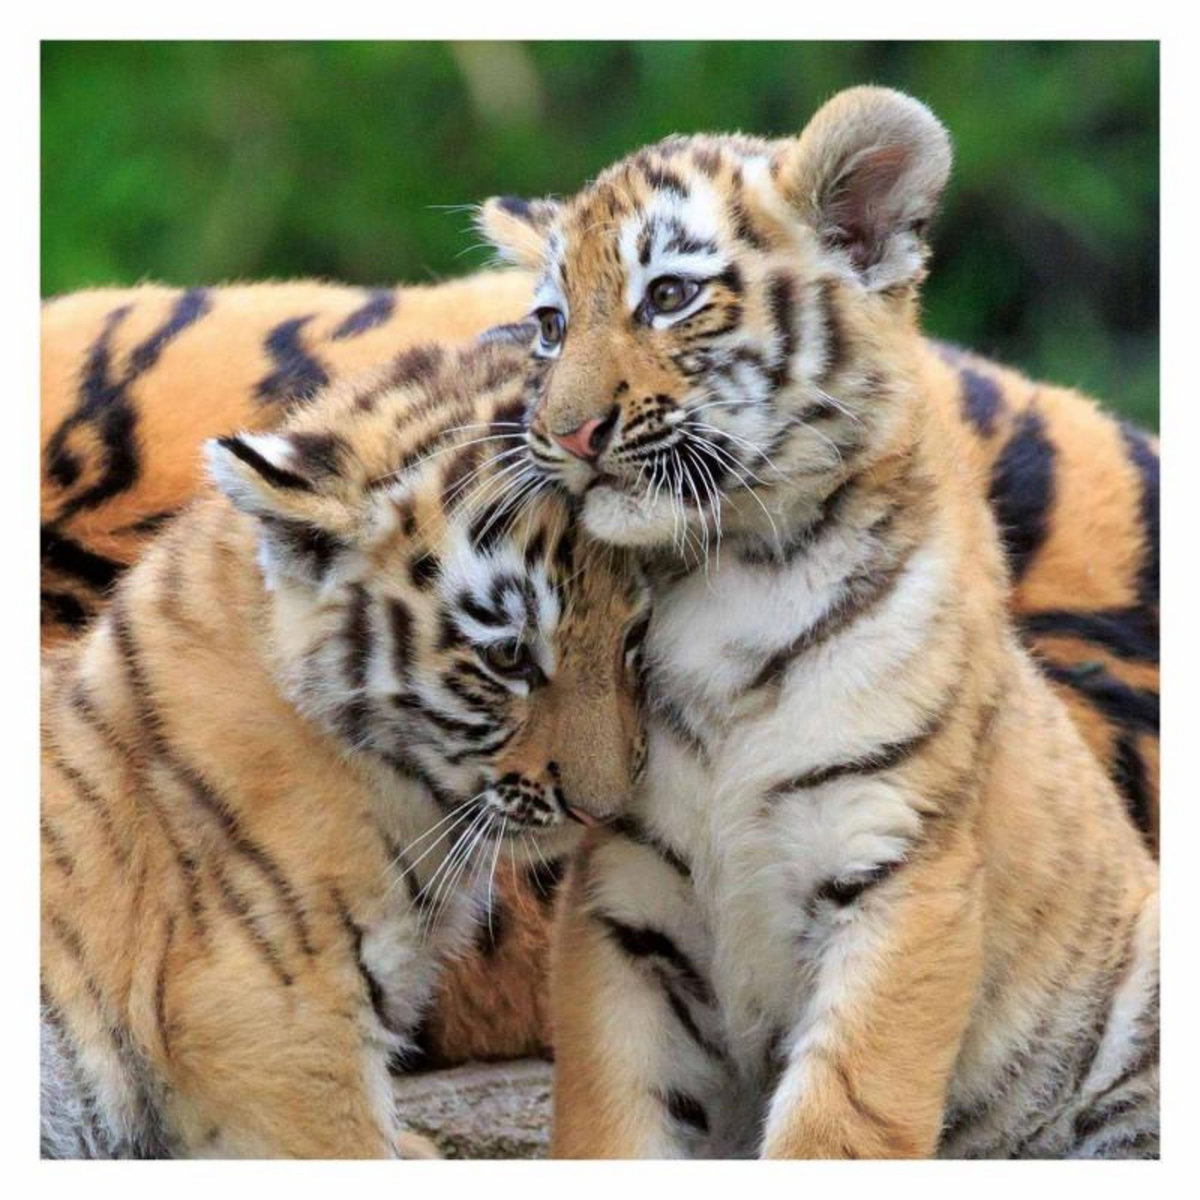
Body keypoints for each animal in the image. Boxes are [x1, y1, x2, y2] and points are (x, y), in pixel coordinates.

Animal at [474, 86, 1159, 1157]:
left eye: (668, 296)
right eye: (550, 324)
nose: (563, 433)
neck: (723, 573)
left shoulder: (900, 867)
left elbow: (845, 1116)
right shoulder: (623, 901)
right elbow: (612, 1116)